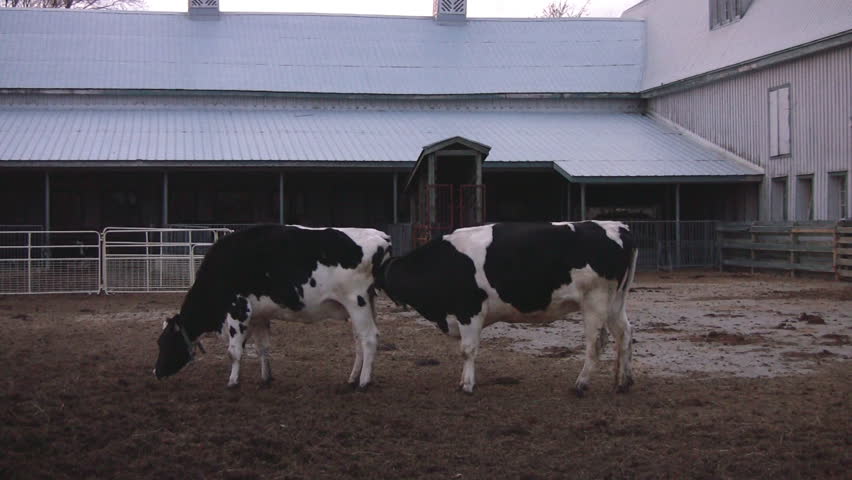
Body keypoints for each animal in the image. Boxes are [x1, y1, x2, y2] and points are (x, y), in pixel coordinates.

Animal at [154, 224, 391, 390]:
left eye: (164, 342)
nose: (155, 372)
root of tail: (380, 236)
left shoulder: (237, 309)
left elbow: (234, 351)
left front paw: (232, 382)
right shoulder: (259, 315)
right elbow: (262, 347)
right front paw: (265, 378)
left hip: (357, 302)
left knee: (369, 338)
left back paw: (363, 383)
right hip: (363, 305)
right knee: (359, 340)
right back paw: (353, 378)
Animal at [375, 221, 638, 396]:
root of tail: (618, 227)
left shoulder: (470, 310)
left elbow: (467, 350)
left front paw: (467, 385)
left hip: (595, 301)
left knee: (595, 343)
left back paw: (581, 384)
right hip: (615, 302)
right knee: (624, 334)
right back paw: (623, 382)